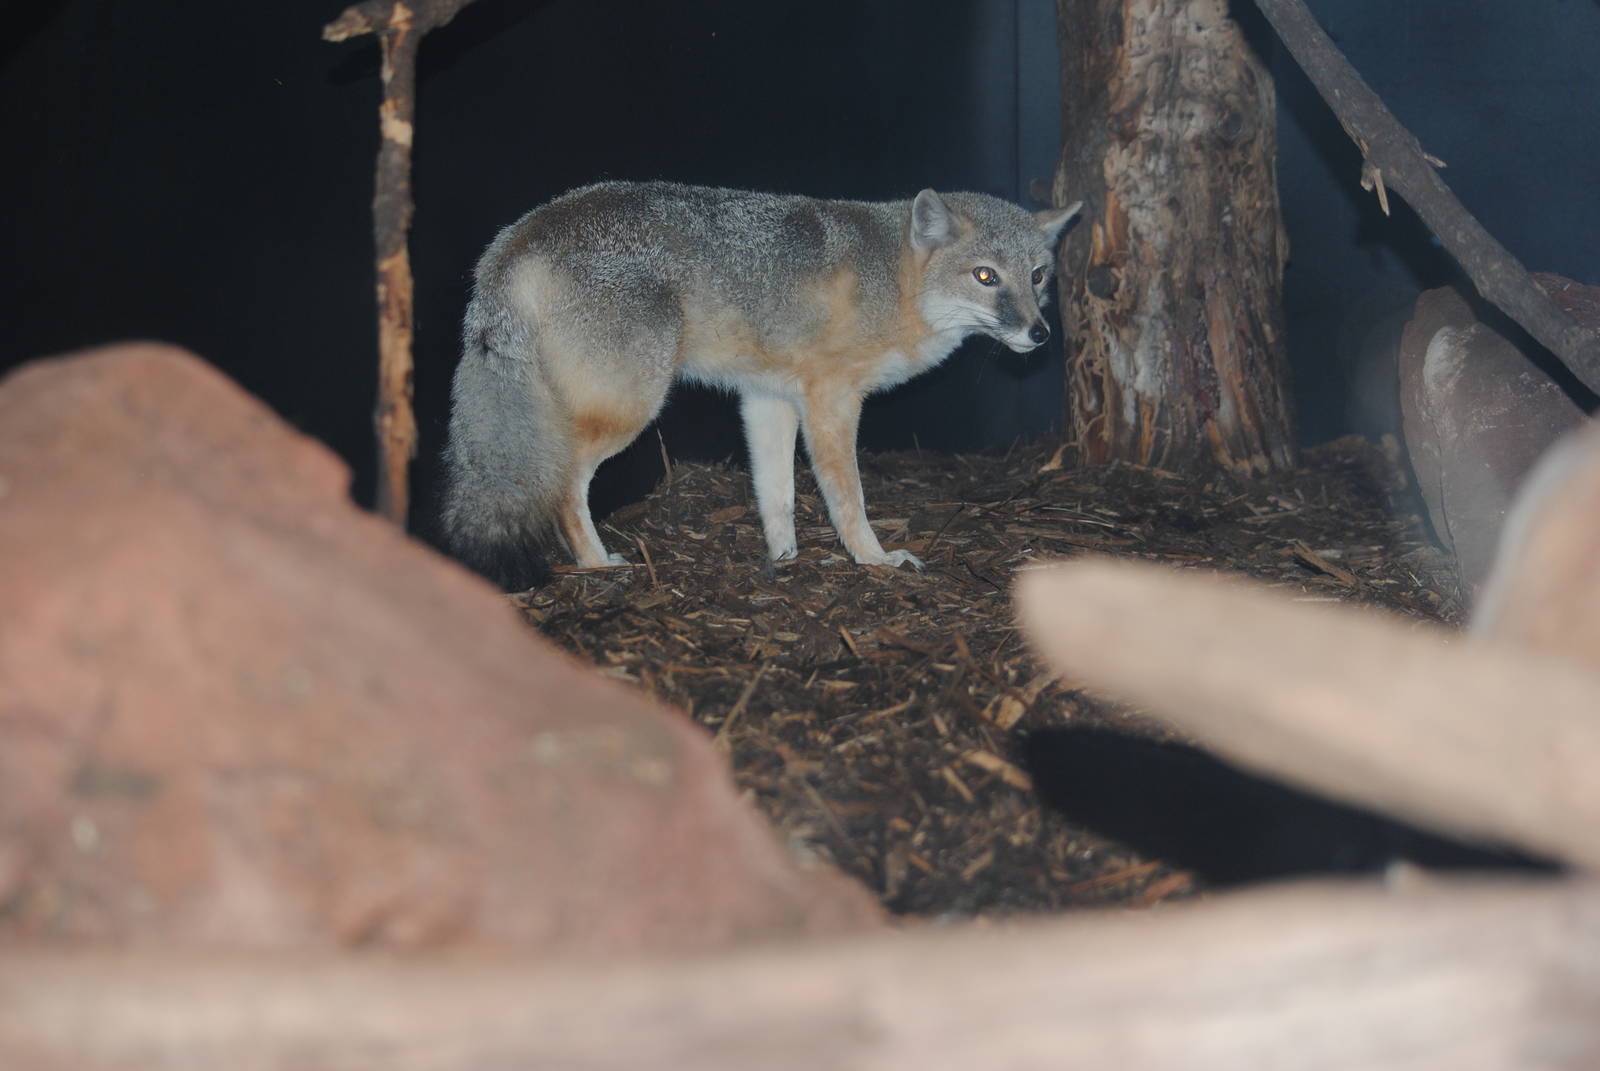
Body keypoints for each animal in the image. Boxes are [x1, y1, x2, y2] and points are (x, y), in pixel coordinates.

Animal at [441, 180, 1081, 590]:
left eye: (1037, 275)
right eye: (985, 277)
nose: (1039, 333)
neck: (894, 281)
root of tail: (519, 234)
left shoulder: (767, 399)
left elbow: (776, 495)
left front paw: (784, 558)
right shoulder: (832, 400)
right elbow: (848, 498)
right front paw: (874, 560)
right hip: (627, 408)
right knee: (562, 485)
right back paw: (598, 566)